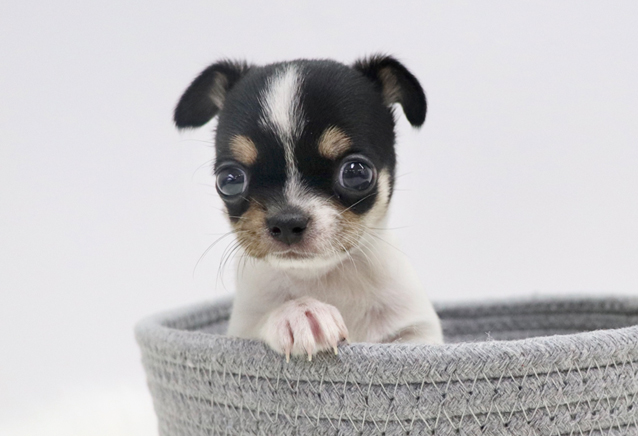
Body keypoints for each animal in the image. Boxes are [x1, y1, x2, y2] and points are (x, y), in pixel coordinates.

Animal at [174, 55, 443, 361]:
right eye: (229, 180)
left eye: (356, 173)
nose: (287, 222)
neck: (322, 278)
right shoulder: (240, 328)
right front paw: (302, 313)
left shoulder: (416, 329)